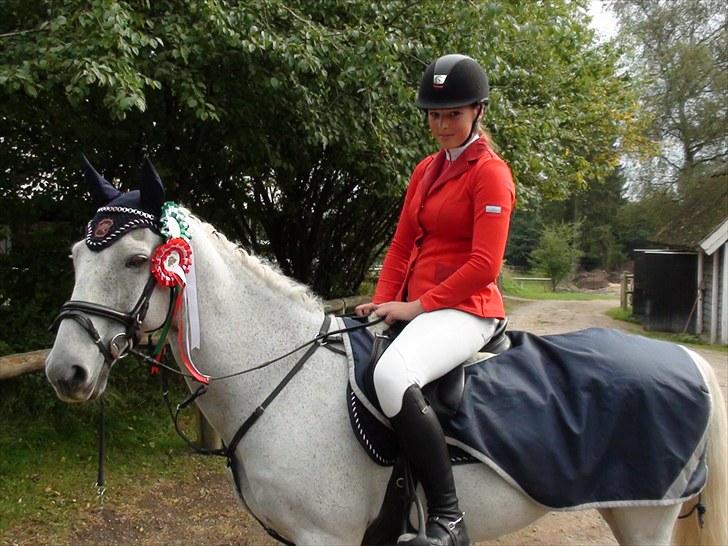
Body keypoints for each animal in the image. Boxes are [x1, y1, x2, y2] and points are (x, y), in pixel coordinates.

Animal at [46, 161, 727, 546]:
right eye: (76, 257)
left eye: (137, 260)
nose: (66, 372)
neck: (281, 381)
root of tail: (690, 363)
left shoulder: (326, 537)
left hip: (644, 520)